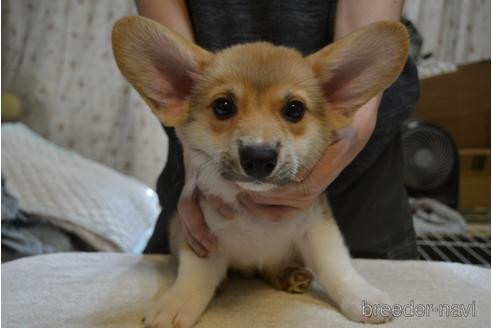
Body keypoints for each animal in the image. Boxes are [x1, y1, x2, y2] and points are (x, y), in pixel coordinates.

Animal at [111, 16, 408, 328]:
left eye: (294, 109)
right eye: (223, 106)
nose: (259, 158)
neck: (255, 218)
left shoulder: (317, 229)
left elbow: (337, 265)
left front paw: (362, 296)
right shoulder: (201, 237)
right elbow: (194, 276)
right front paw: (176, 302)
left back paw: (289, 275)